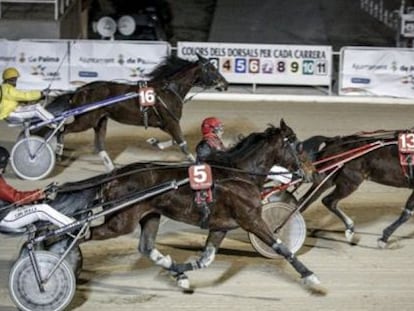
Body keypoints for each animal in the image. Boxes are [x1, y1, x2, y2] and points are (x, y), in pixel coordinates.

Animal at [43, 54, 228, 171]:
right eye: (212, 69)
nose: (225, 84)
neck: (168, 90)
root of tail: (80, 91)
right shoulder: (171, 121)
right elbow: (182, 144)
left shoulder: (167, 123)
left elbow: (175, 141)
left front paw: (155, 142)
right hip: (86, 119)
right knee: (63, 130)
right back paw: (58, 153)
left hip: (100, 121)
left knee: (100, 145)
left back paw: (111, 169)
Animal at [43, 119, 324, 294]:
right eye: (298, 145)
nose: (313, 172)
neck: (237, 174)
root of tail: (116, 175)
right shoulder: (251, 219)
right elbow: (281, 247)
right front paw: (311, 276)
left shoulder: (221, 226)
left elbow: (205, 260)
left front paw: (180, 272)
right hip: (121, 221)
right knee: (83, 234)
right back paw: (53, 259)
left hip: (150, 216)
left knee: (146, 248)